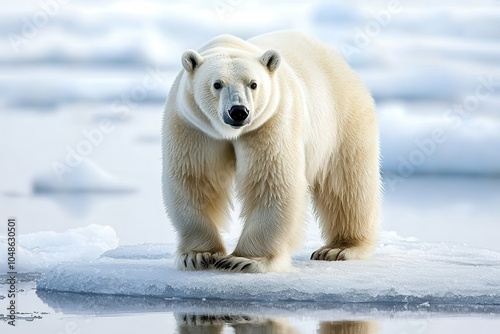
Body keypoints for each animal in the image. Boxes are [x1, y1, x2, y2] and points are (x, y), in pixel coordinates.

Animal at [162, 30, 380, 272]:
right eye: (217, 84)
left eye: (253, 84)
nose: (238, 111)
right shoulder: (193, 126)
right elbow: (195, 178)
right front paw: (199, 255)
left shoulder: (271, 121)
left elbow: (271, 181)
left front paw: (244, 260)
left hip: (343, 119)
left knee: (347, 184)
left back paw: (338, 248)